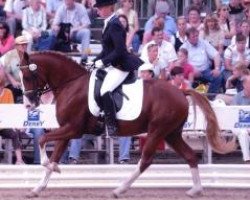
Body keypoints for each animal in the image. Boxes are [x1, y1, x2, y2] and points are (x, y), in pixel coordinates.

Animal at [19, 50, 236, 198]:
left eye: (28, 76)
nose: (29, 104)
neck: (71, 84)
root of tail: (180, 92)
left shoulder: (73, 129)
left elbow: (44, 141)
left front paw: (51, 168)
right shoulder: (67, 130)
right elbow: (54, 155)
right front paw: (37, 188)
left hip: (157, 131)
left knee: (146, 160)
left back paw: (119, 189)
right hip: (171, 133)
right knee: (190, 156)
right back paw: (196, 190)